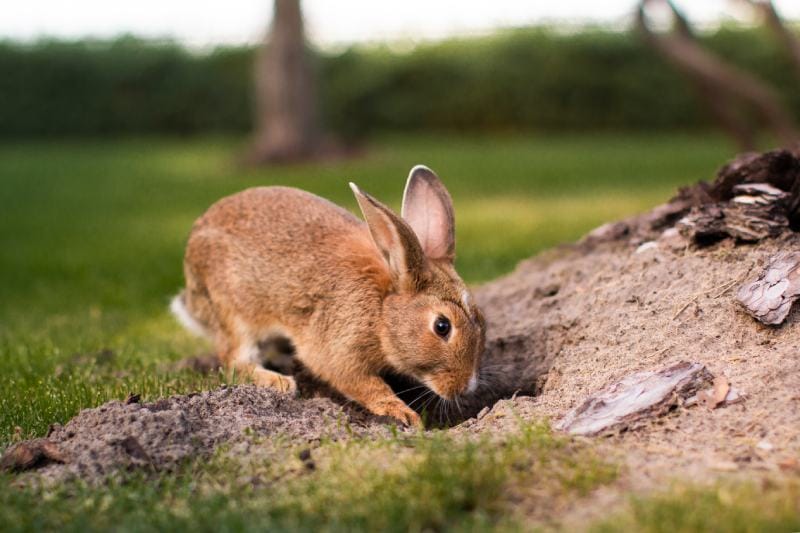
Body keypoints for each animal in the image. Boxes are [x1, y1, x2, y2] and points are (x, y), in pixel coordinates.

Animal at [171, 164, 484, 426]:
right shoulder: (340, 348)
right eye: (442, 326)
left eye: (481, 319)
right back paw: (279, 382)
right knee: (233, 360)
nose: (466, 386)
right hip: (234, 313)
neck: (382, 309)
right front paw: (403, 414)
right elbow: (363, 383)